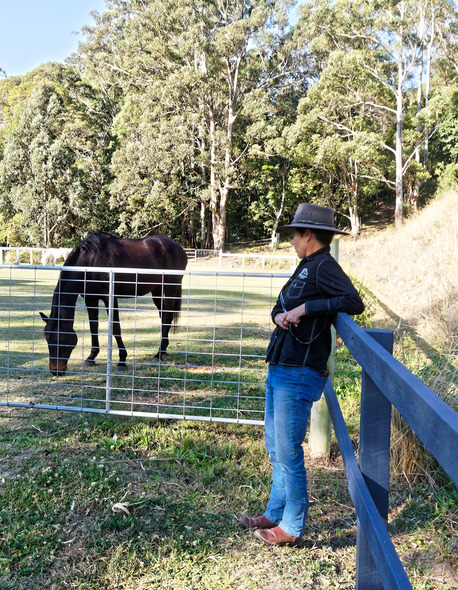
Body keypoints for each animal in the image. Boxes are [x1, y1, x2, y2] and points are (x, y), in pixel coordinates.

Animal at [40, 232, 187, 376]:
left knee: (167, 317)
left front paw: (122, 361)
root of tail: (179, 248)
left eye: (58, 339)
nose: (55, 370)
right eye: (47, 339)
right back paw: (164, 350)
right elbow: (93, 327)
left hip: (170, 289)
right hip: (156, 291)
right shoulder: (90, 299)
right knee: (164, 317)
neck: (91, 263)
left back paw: (158, 354)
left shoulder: (109, 298)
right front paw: (91, 357)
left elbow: (116, 327)